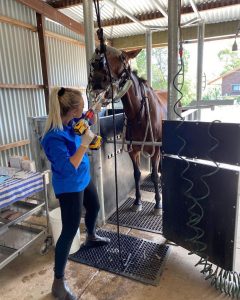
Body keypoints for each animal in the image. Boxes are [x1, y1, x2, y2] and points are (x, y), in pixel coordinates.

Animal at [87, 45, 167, 216]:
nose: (97, 79)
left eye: (122, 58)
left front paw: (158, 204)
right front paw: (137, 202)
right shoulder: (133, 150)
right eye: (98, 53)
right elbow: (136, 175)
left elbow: (155, 177)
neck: (140, 114)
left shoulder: (155, 150)